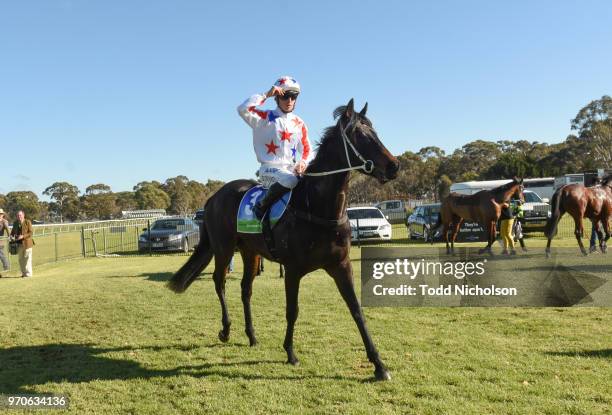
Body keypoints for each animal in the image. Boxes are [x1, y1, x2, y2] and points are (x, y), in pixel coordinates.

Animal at [167, 99, 400, 382]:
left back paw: (252, 335)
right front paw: (290, 352)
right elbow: (293, 310)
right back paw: (226, 330)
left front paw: (379, 364)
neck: (317, 207)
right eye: (359, 134)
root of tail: (214, 197)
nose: (394, 166)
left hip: (250, 252)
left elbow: (356, 310)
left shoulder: (341, 266)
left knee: (245, 289)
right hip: (224, 249)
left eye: (374, 131)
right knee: (219, 282)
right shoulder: (293, 269)